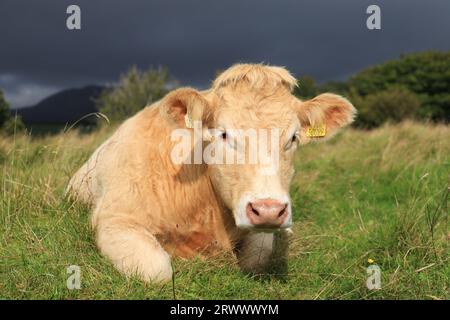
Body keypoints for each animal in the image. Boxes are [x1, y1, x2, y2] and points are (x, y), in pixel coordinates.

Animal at [67, 63, 356, 282]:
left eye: (293, 137)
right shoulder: (114, 220)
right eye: (224, 134)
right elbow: (157, 270)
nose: (269, 210)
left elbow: (257, 258)